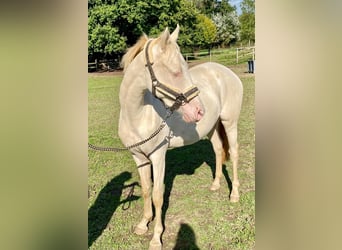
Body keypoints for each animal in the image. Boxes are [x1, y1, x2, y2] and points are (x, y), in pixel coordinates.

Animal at [117, 23, 243, 250]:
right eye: (175, 72)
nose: (199, 111)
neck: (138, 115)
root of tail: (226, 72)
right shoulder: (139, 157)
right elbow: (147, 190)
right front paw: (143, 224)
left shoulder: (158, 157)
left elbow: (158, 195)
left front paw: (156, 237)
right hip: (212, 128)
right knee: (218, 150)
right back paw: (215, 185)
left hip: (230, 123)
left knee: (235, 153)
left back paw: (234, 194)